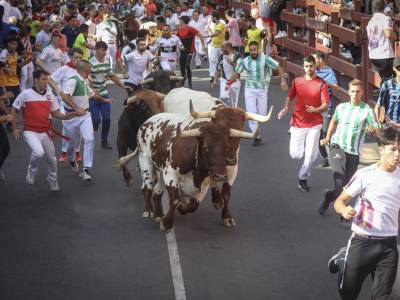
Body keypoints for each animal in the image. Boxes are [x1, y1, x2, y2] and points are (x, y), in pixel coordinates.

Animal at [116, 113, 260, 232]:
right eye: (206, 147)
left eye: (227, 147)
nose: (220, 175)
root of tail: (147, 121)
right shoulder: (171, 174)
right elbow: (174, 200)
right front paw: (167, 222)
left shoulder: (204, 182)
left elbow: (194, 204)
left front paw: (180, 209)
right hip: (145, 161)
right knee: (147, 188)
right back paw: (148, 211)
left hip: (160, 171)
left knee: (157, 191)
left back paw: (158, 215)